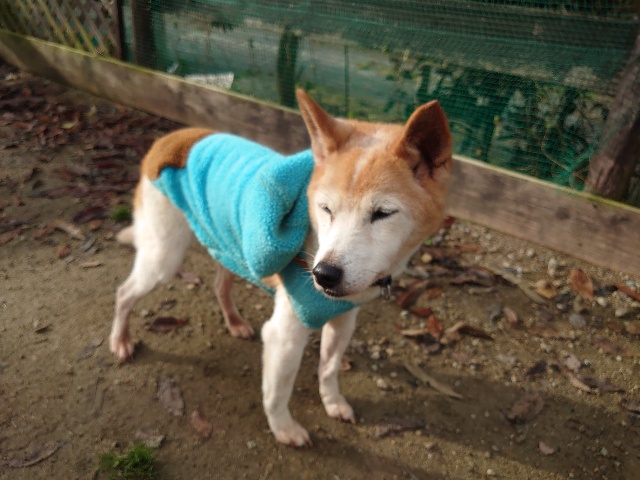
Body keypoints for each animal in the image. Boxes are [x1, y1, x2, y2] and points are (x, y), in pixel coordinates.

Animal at [110, 89, 452, 446]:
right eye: (325, 209)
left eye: (383, 213)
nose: (323, 275)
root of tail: (172, 138)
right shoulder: (283, 336)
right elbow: (277, 394)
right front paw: (284, 430)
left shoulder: (343, 320)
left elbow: (328, 369)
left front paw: (333, 403)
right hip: (164, 260)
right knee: (124, 293)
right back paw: (120, 340)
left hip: (230, 247)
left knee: (220, 286)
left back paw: (235, 323)